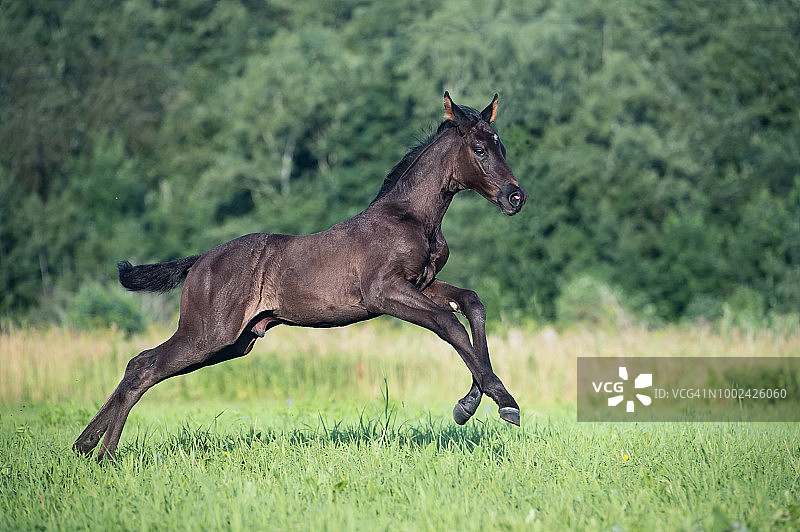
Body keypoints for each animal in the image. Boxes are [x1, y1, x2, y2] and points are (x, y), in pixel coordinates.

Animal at [73, 89, 524, 460]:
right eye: (480, 149)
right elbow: (449, 323)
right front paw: (502, 399)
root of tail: (200, 261)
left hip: (232, 342)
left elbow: (472, 303)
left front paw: (471, 402)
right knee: (145, 368)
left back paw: (83, 444)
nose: (515, 197)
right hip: (207, 334)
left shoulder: (423, 283)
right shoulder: (384, 293)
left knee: (138, 362)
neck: (411, 217)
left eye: (501, 146)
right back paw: (104, 454)